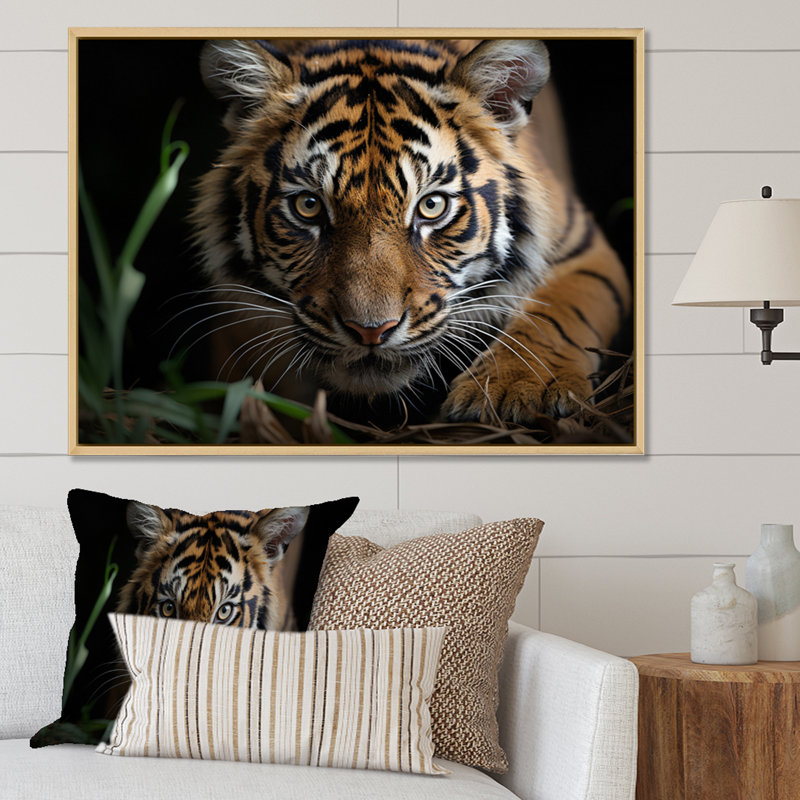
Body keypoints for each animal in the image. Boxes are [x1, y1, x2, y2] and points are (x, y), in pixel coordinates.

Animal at [190, 38, 631, 429]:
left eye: (431, 206)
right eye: (308, 206)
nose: (370, 331)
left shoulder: (581, 247)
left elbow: (556, 314)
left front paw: (518, 389)